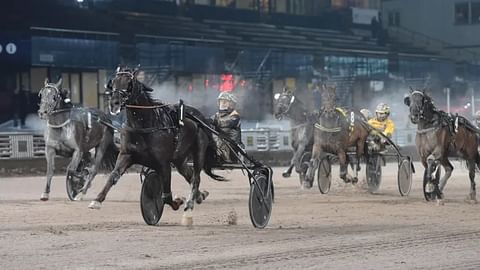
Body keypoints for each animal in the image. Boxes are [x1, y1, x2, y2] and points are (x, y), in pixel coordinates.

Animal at [87, 68, 223, 221]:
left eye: (129, 83)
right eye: (113, 82)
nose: (114, 103)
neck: (145, 124)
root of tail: (199, 116)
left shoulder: (163, 163)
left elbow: (166, 194)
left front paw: (177, 202)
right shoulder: (126, 155)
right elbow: (113, 176)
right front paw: (97, 200)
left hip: (199, 151)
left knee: (196, 178)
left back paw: (189, 204)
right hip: (179, 158)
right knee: (188, 174)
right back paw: (200, 195)